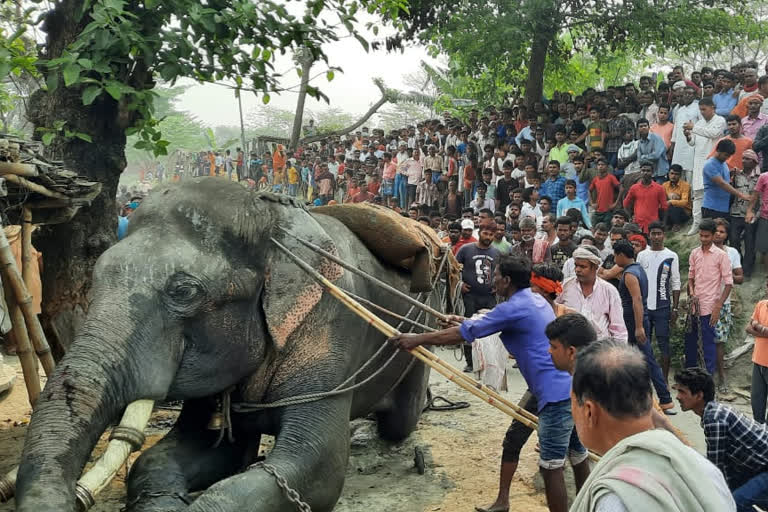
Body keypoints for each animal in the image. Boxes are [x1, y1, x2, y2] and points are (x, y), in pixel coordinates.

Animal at [15, 177, 440, 512]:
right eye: (98, 274)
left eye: (183, 291)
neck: (271, 219)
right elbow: (187, 452)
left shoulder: (332, 326)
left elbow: (316, 466)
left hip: (427, 323)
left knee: (401, 420)